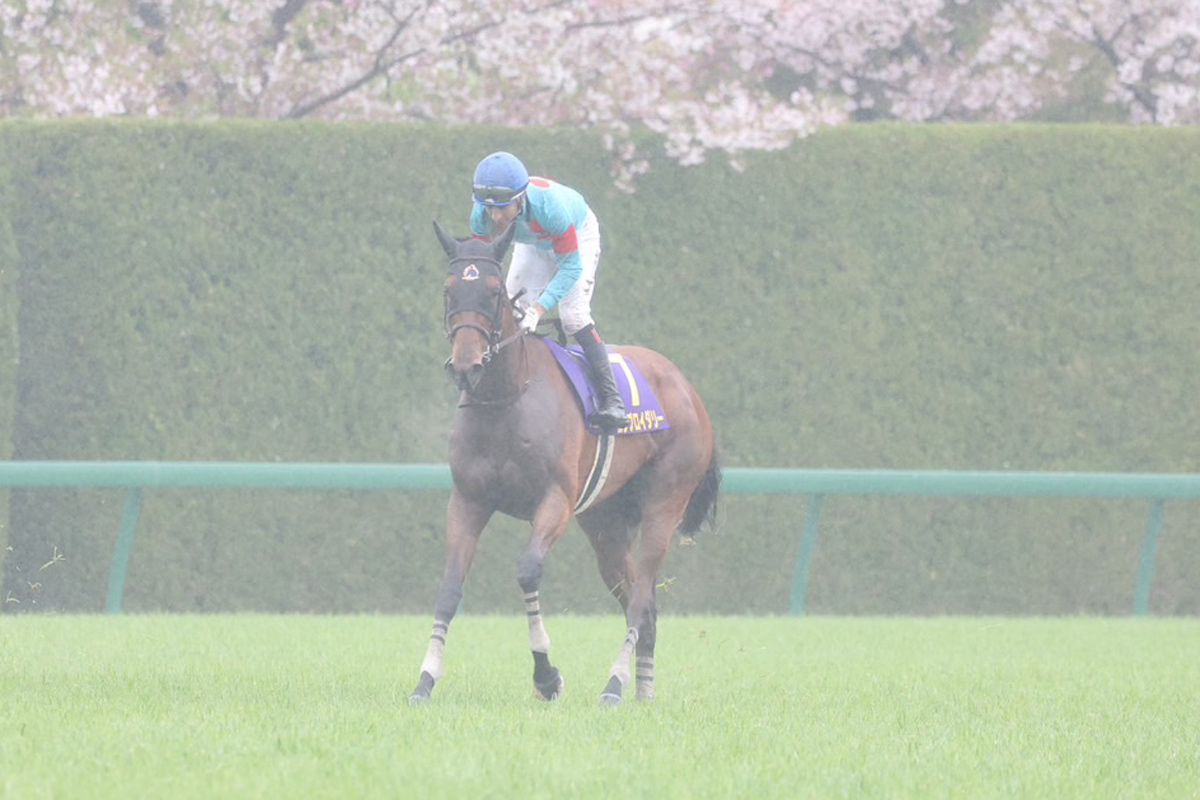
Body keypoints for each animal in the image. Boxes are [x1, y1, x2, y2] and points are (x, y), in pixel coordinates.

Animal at [409, 221, 720, 706]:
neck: (507, 398)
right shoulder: (468, 500)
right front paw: (425, 679)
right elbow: (449, 587)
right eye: (449, 288)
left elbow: (527, 570)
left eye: (494, 291)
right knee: (641, 599)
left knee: (640, 596)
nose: (466, 365)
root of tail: (688, 389)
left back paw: (615, 685)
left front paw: (546, 676)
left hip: (664, 505)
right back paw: (643, 689)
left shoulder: (554, 499)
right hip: (604, 524)